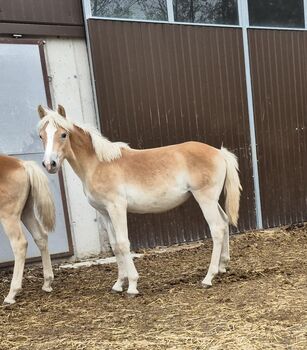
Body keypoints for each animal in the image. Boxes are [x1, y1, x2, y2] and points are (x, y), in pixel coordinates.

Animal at [0, 155, 55, 304]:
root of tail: (23, 164)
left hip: (9, 216)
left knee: (20, 244)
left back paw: (11, 294)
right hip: (27, 211)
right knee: (41, 237)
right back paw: (47, 283)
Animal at [37, 104, 242, 296]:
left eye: (63, 134)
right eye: (41, 136)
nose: (49, 164)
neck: (98, 164)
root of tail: (219, 152)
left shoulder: (117, 208)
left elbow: (123, 243)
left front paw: (132, 286)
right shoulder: (105, 213)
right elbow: (115, 246)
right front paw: (118, 284)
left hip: (205, 199)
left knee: (217, 229)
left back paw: (208, 277)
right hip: (212, 201)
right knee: (224, 223)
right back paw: (222, 267)